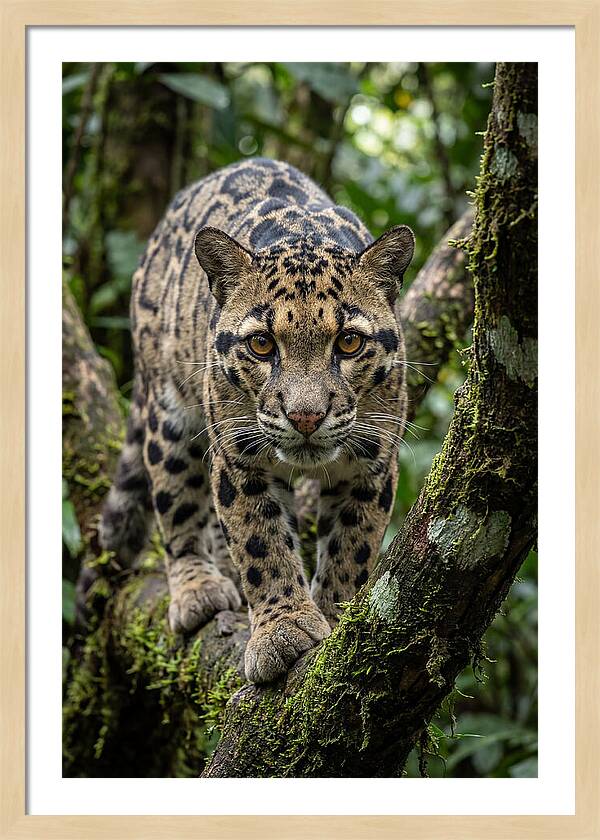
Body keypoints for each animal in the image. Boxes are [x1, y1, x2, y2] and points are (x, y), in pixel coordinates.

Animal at [100, 157, 414, 684]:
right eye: (262, 344)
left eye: (349, 342)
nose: (305, 416)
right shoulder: (239, 456)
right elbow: (260, 542)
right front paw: (283, 631)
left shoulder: (372, 460)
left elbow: (353, 545)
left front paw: (335, 616)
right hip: (168, 411)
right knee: (176, 503)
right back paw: (199, 588)